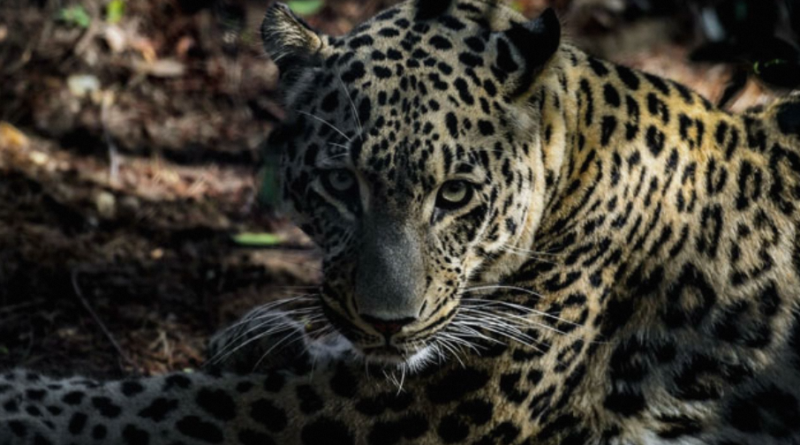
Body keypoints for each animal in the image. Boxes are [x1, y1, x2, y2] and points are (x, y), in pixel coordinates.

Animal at [4, 0, 800, 444]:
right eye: (339, 184)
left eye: (454, 195)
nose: (389, 323)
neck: (576, 146)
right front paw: (259, 333)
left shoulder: (426, 404)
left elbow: (164, 402)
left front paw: (19, 398)